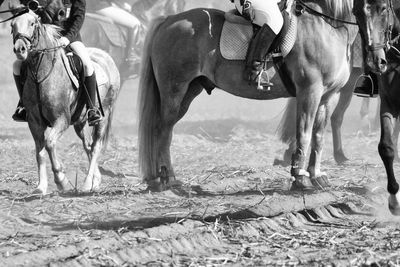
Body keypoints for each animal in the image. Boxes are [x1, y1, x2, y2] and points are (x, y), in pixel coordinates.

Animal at [11, 9, 120, 195]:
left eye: (32, 23)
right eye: (13, 25)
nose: (20, 49)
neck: (41, 75)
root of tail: (106, 56)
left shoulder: (61, 119)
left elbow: (49, 143)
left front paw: (61, 180)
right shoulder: (34, 122)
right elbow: (39, 152)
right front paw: (41, 186)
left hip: (103, 114)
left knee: (96, 146)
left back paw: (87, 183)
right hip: (80, 122)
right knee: (87, 145)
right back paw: (95, 181)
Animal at [138, 1, 360, 192]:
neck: (327, 27)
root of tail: (170, 19)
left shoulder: (329, 96)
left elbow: (318, 136)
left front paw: (317, 176)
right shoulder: (309, 91)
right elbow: (304, 134)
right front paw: (300, 178)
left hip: (189, 91)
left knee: (164, 129)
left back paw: (159, 178)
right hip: (174, 91)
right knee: (162, 130)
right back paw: (168, 178)